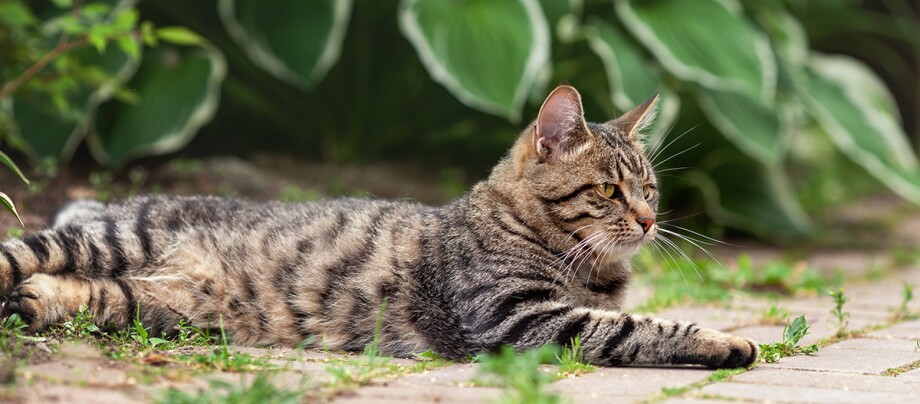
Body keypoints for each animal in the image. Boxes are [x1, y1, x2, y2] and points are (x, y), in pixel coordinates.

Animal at [0, 86, 756, 370]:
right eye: (608, 190)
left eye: (650, 188)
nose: (650, 220)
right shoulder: (517, 318)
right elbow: (636, 329)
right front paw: (726, 341)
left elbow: (633, 320)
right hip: (107, 242)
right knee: (17, 251)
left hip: (159, 305)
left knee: (85, 294)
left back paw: (36, 303)